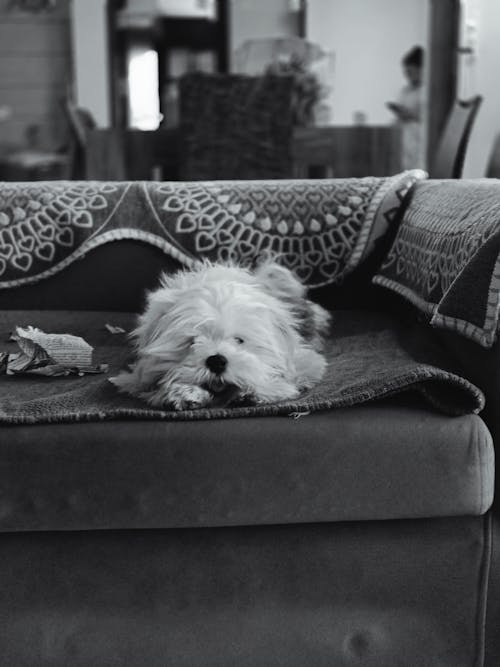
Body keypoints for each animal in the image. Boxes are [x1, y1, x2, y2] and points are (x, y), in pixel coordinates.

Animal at [113, 262, 332, 412]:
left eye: (239, 340)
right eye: (192, 342)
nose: (216, 361)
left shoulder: (304, 361)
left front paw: (251, 390)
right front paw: (184, 392)